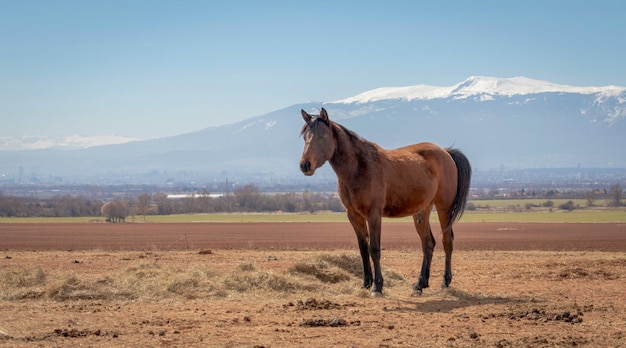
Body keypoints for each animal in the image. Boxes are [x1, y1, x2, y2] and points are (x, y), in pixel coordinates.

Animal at [298, 107, 468, 294]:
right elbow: (363, 249)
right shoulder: (354, 216)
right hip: (422, 211)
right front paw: (366, 283)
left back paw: (445, 281)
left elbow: (374, 249)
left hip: (444, 208)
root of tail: (446, 152)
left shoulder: (374, 215)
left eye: (322, 137)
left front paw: (377, 286)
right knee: (428, 243)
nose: (305, 165)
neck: (359, 167)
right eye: (305, 137)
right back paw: (420, 284)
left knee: (447, 241)